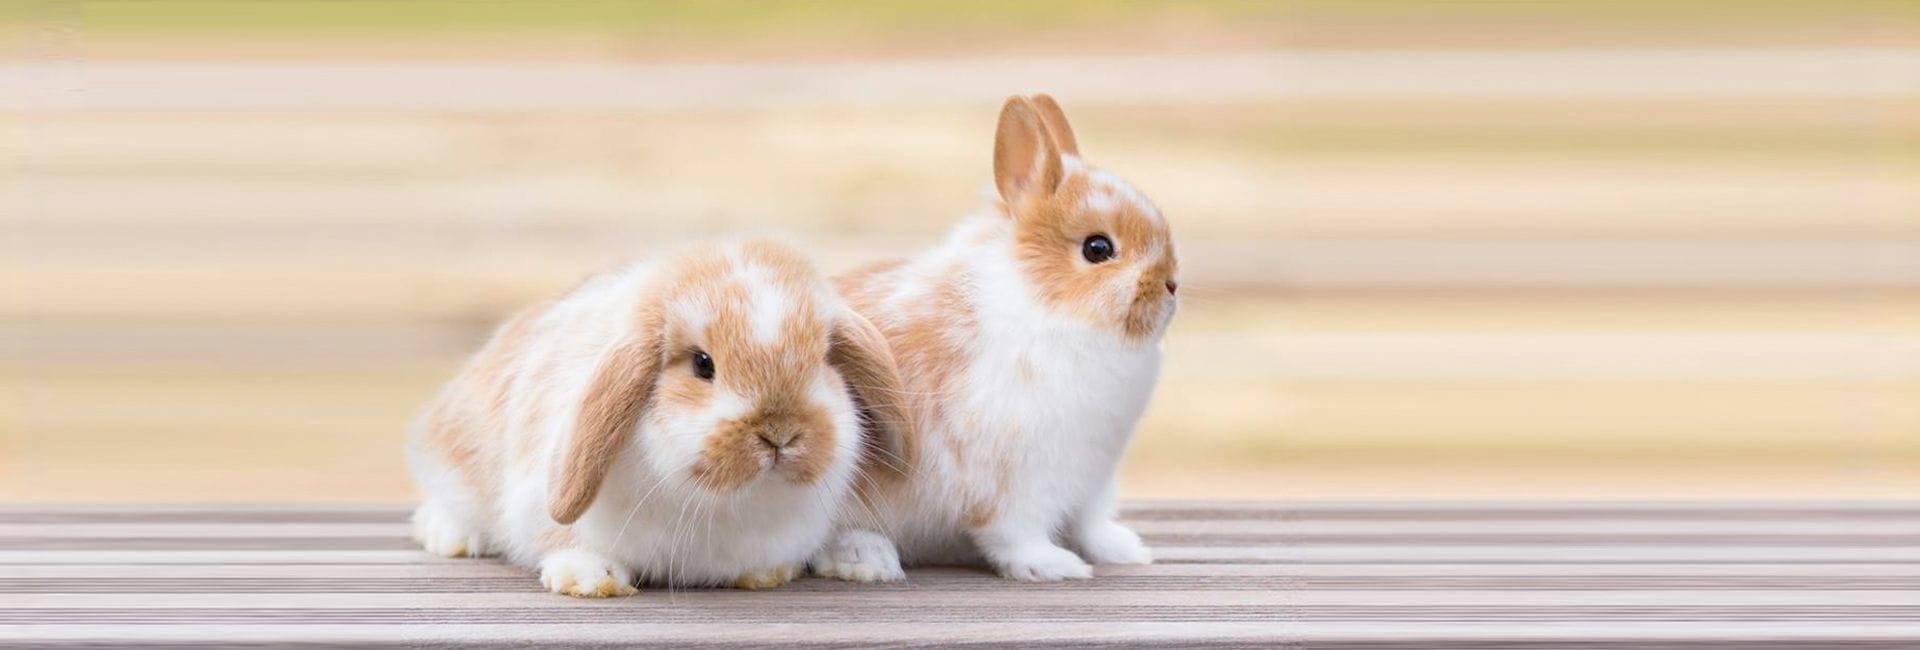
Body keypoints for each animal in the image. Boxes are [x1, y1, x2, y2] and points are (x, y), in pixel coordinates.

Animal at [407, 240, 913, 597]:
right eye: (703, 364)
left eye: (824, 359)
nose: (780, 433)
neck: (726, 507)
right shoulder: (537, 494)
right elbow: (562, 538)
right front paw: (592, 578)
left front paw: (765, 574)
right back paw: (451, 536)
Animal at [813, 94, 1177, 582]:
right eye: (1098, 248)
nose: (1172, 283)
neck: (1047, 308)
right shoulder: (1014, 482)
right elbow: (1015, 532)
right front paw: (1053, 566)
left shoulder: (1093, 478)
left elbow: (1089, 524)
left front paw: (1124, 551)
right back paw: (868, 561)